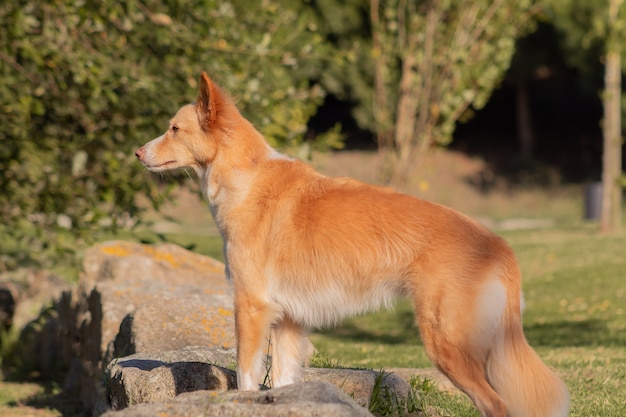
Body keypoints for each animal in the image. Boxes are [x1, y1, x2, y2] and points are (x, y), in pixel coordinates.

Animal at [134, 71, 568, 416]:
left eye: (174, 129)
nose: (137, 153)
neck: (248, 179)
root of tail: (498, 244)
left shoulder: (251, 308)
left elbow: (245, 377)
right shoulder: (288, 322)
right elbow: (283, 384)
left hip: (448, 344)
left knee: (496, 405)